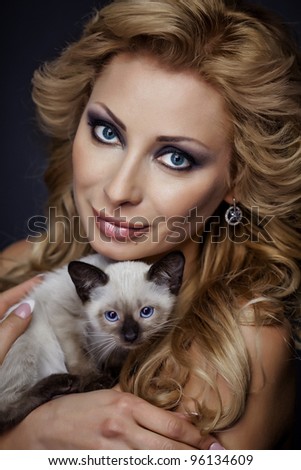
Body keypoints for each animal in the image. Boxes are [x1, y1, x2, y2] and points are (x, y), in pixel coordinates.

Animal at [0, 252, 184, 432]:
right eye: (112, 316)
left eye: (146, 312)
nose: (130, 336)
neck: (102, 336)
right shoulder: (63, 316)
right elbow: (80, 355)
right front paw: (94, 381)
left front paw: (115, 369)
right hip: (28, 339)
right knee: (6, 411)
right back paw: (65, 382)